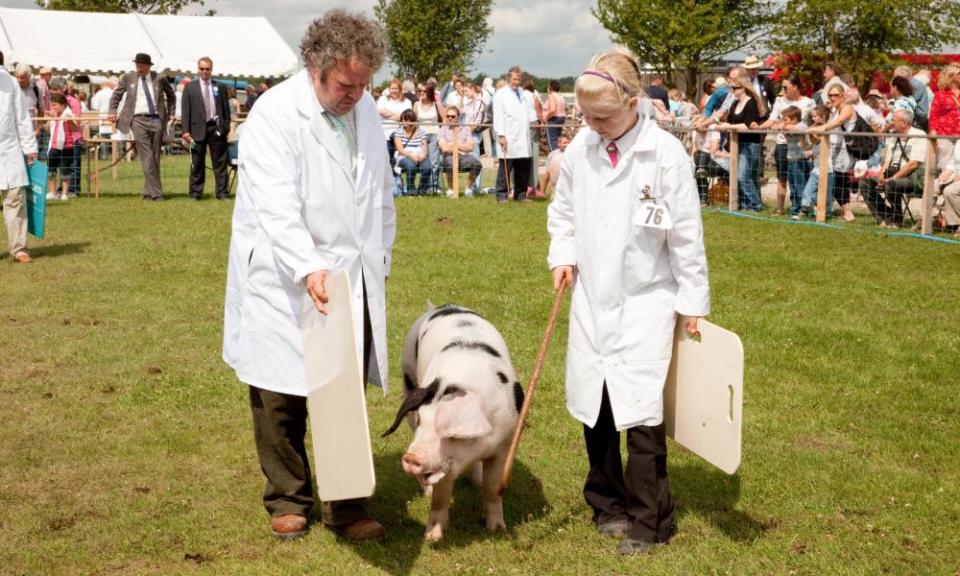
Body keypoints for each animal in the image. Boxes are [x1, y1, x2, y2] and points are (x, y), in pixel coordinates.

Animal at [380, 304, 524, 544]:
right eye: (421, 419)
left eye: (450, 432)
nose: (411, 457)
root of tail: (440, 307)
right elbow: (440, 498)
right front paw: (432, 538)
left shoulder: (505, 443)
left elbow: (493, 488)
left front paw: (496, 530)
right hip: (409, 378)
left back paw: (476, 481)